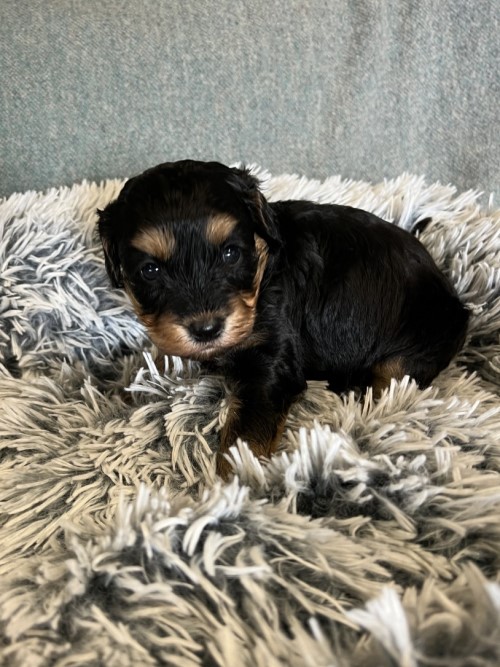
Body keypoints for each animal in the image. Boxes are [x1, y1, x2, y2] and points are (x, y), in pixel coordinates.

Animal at [96, 159, 468, 478]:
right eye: (150, 271)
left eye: (231, 253)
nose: (206, 329)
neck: (263, 274)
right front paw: (124, 388)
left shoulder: (270, 364)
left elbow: (243, 437)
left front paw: (230, 489)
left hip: (412, 349)